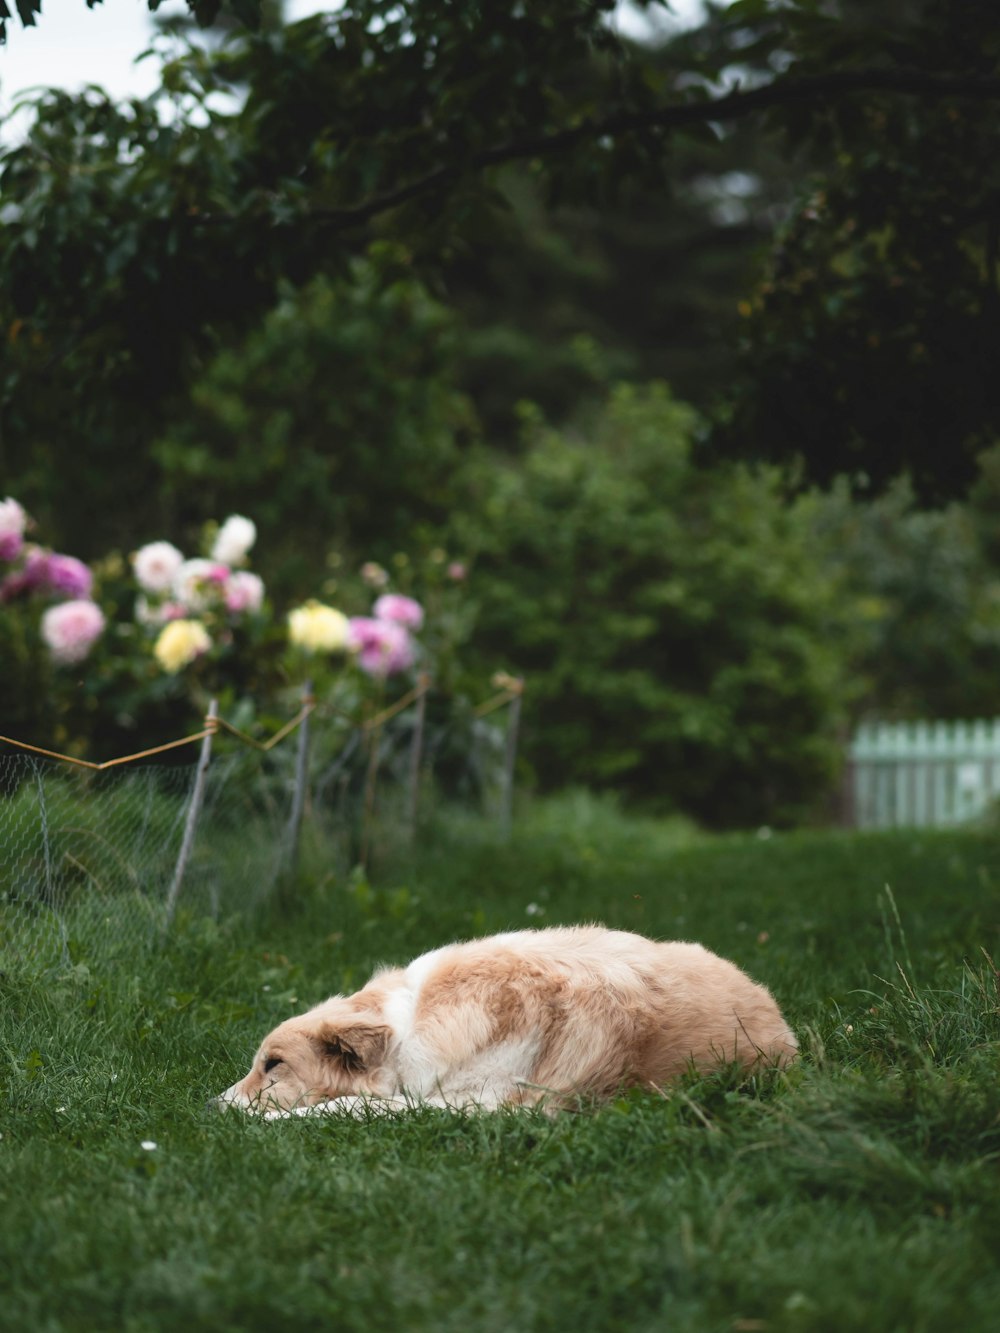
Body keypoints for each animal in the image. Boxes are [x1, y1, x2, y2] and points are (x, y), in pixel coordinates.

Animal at [217, 927, 800, 1114]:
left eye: (273, 1065)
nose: (208, 1109)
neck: (413, 1026)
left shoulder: (483, 1106)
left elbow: (347, 1107)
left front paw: (270, 1119)